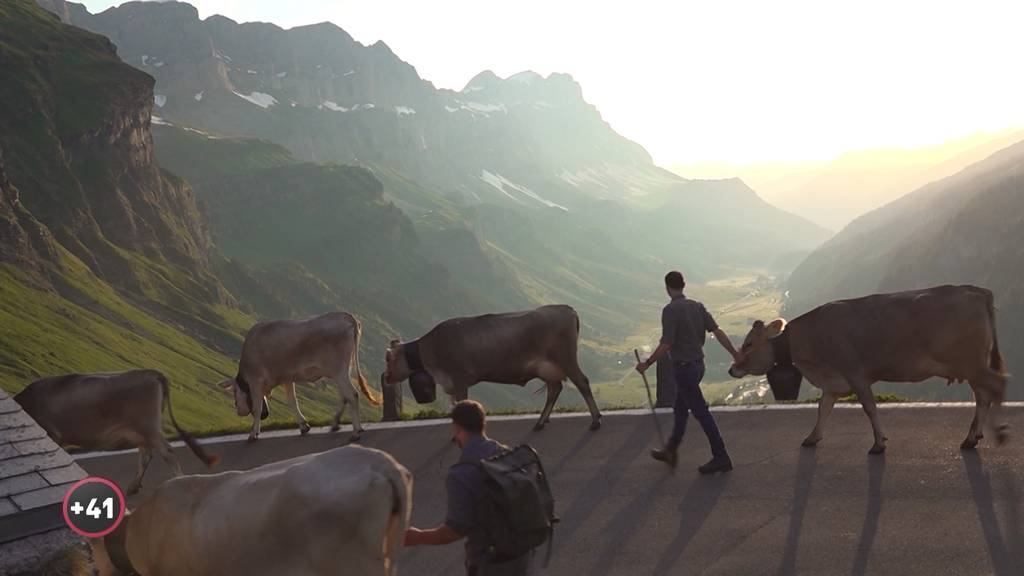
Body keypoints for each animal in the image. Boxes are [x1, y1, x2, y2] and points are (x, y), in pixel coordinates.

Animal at [14, 368, 219, 491]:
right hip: (142, 431)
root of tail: (150, 372)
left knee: (167, 453)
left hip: (148, 427)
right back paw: (134, 486)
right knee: (147, 453)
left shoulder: (51, 433)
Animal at [380, 303, 598, 428]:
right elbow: (454, 406)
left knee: (582, 382)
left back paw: (596, 420)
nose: (387, 377)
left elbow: (461, 404)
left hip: (566, 358)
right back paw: (540, 422)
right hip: (546, 368)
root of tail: (566, 308)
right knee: (554, 389)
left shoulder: (459, 379)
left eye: (388, 358)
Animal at [729, 282, 1007, 453]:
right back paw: (972, 437)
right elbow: (823, 410)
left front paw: (878, 444)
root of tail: (976, 291)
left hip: (970, 364)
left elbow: (870, 408)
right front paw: (812, 437)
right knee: (983, 397)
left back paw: (995, 433)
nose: (732, 369)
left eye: (749, 343)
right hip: (972, 366)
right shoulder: (833, 382)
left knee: (995, 387)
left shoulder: (856, 375)